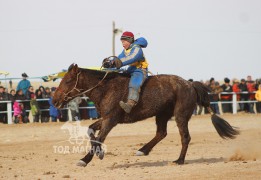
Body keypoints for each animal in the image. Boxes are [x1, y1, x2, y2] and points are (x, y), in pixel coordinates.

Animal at [51, 64, 239, 167]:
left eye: (68, 80)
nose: (54, 100)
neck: (106, 88)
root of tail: (190, 84)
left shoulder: (111, 120)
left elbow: (99, 137)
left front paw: (85, 159)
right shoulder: (105, 118)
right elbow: (91, 130)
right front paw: (99, 153)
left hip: (180, 115)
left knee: (185, 137)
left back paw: (179, 160)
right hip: (162, 115)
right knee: (161, 133)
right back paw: (143, 150)